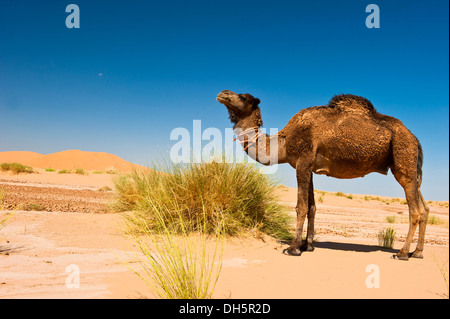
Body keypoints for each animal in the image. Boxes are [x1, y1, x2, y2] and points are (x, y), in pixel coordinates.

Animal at [217, 89, 428, 260]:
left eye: (243, 97)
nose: (223, 93)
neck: (282, 143)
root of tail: (415, 138)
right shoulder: (309, 167)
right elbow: (312, 207)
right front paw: (308, 246)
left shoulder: (302, 161)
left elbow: (301, 206)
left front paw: (293, 248)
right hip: (412, 168)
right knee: (424, 208)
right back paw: (417, 252)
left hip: (403, 158)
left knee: (415, 211)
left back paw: (402, 253)